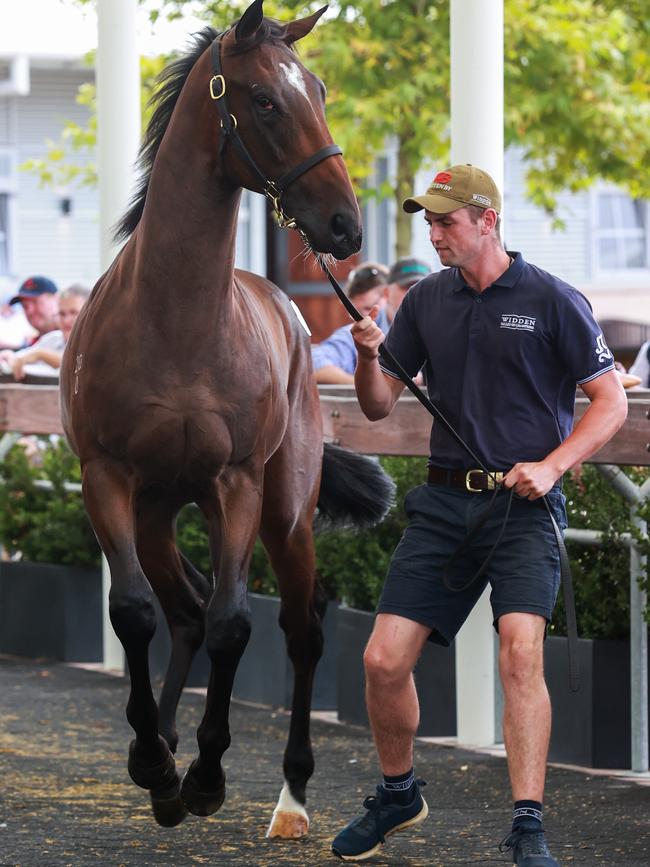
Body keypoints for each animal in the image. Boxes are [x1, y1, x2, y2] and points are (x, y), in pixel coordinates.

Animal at [59, 0, 390, 840]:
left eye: (321, 91)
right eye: (266, 101)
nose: (344, 226)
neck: (179, 320)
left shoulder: (236, 483)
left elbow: (235, 622)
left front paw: (207, 776)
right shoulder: (107, 478)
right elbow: (133, 610)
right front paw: (156, 763)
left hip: (285, 510)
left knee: (300, 626)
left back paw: (291, 792)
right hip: (157, 509)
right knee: (179, 610)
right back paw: (163, 753)